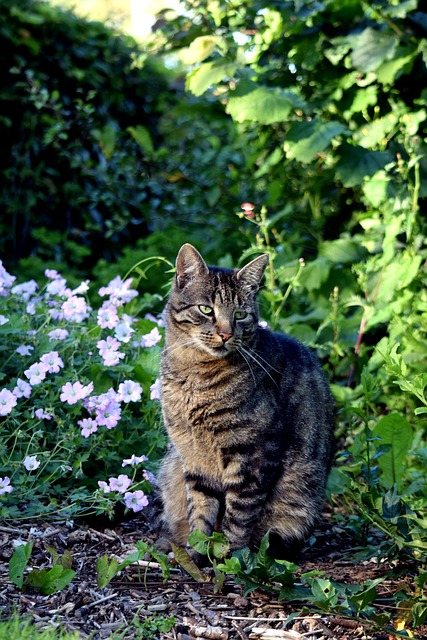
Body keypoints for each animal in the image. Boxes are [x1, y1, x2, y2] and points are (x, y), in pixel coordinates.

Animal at [159, 242, 336, 556]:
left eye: (240, 314)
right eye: (206, 309)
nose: (225, 333)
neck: (194, 372)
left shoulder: (254, 454)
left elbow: (238, 514)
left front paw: (229, 556)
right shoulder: (193, 459)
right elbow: (200, 511)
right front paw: (197, 553)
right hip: (171, 466)